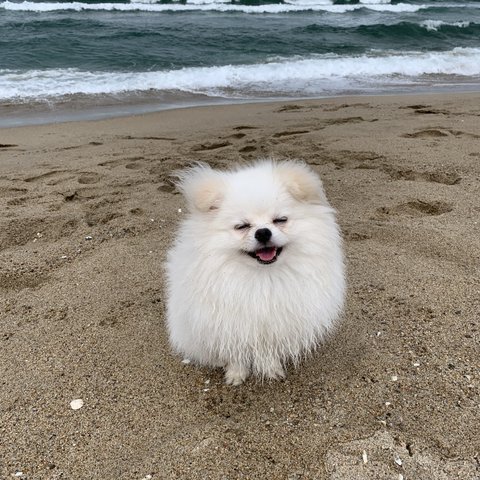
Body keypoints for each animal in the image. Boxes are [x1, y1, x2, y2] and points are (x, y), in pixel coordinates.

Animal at [166, 159, 345, 385]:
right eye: (242, 226)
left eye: (280, 220)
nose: (263, 232)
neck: (262, 277)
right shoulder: (230, 326)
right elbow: (236, 354)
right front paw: (236, 374)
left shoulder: (273, 326)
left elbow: (269, 351)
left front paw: (271, 370)